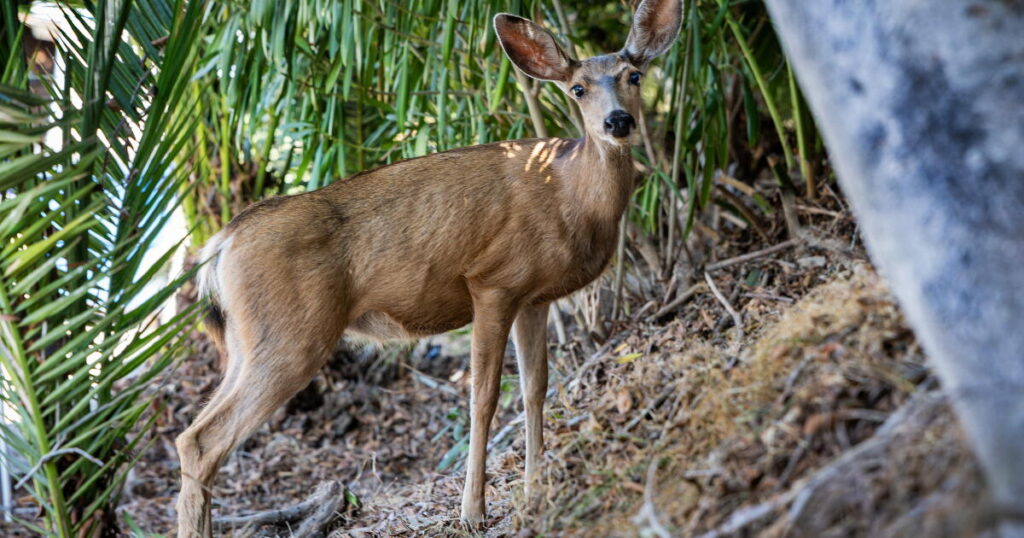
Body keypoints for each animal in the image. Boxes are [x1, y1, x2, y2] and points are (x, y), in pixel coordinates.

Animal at [175, 1, 681, 535]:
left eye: (634, 75)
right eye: (578, 88)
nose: (618, 122)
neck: (569, 193)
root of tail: (220, 245)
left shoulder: (535, 298)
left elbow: (535, 389)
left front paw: (534, 491)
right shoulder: (493, 281)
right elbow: (484, 397)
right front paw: (474, 512)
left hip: (247, 339)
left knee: (193, 435)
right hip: (293, 333)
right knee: (204, 440)